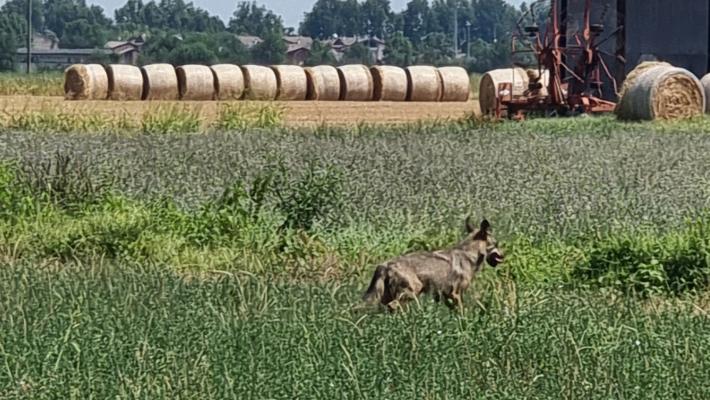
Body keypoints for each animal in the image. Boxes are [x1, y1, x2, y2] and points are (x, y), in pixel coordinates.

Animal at [362, 217, 504, 312]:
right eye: (497, 244)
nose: (503, 255)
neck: (469, 254)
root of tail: (384, 265)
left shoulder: (446, 296)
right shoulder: (455, 294)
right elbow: (462, 313)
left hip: (386, 297)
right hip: (413, 291)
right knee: (394, 306)